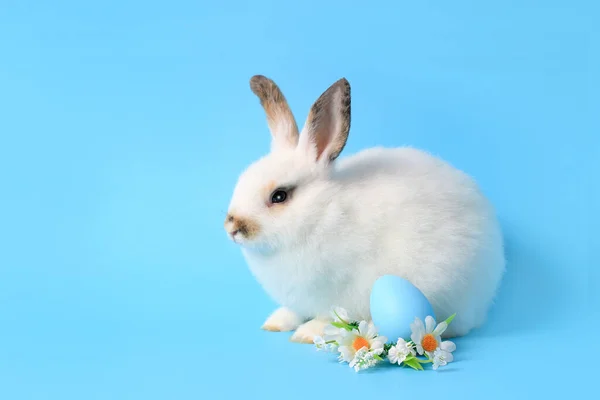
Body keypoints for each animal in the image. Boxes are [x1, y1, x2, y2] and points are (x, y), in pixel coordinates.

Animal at [225, 76, 506, 344]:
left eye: (279, 196)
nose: (232, 227)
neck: (321, 213)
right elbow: (292, 312)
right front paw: (274, 323)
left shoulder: (341, 294)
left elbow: (328, 317)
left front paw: (306, 334)